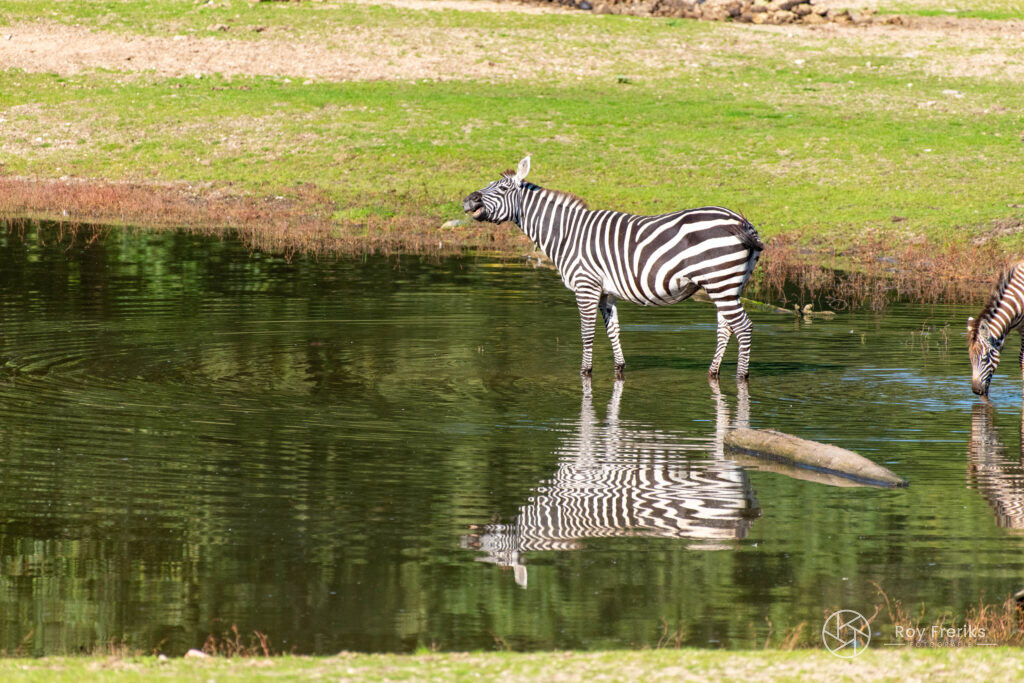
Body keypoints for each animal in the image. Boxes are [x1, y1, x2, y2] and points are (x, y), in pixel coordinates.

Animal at [462, 156, 764, 380]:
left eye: (502, 189)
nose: (468, 200)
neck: (566, 232)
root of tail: (741, 221)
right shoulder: (607, 291)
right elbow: (613, 330)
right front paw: (619, 369)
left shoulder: (585, 286)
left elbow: (586, 332)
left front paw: (585, 372)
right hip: (727, 285)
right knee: (726, 328)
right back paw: (712, 373)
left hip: (720, 282)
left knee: (744, 327)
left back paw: (741, 377)